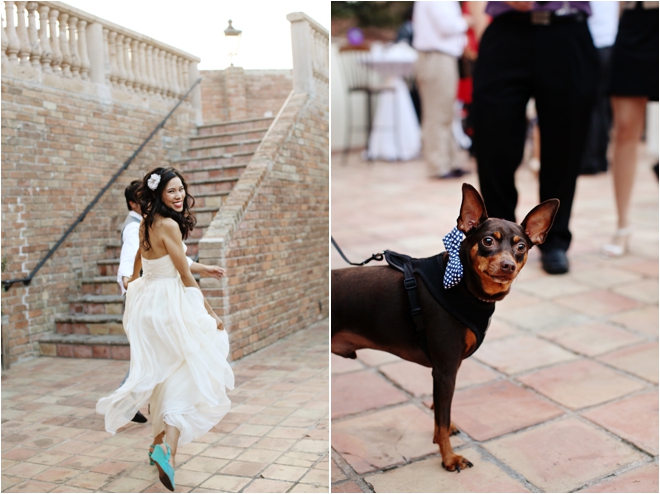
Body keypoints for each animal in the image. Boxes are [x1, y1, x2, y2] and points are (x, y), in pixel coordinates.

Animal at [332, 182, 560, 470]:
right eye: (488, 241)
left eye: (521, 247)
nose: (508, 265)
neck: (463, 286)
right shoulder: (445, 370)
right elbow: (441, 419)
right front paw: (449, 458)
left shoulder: (448, 369)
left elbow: (441, 415)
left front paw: (445, 436)